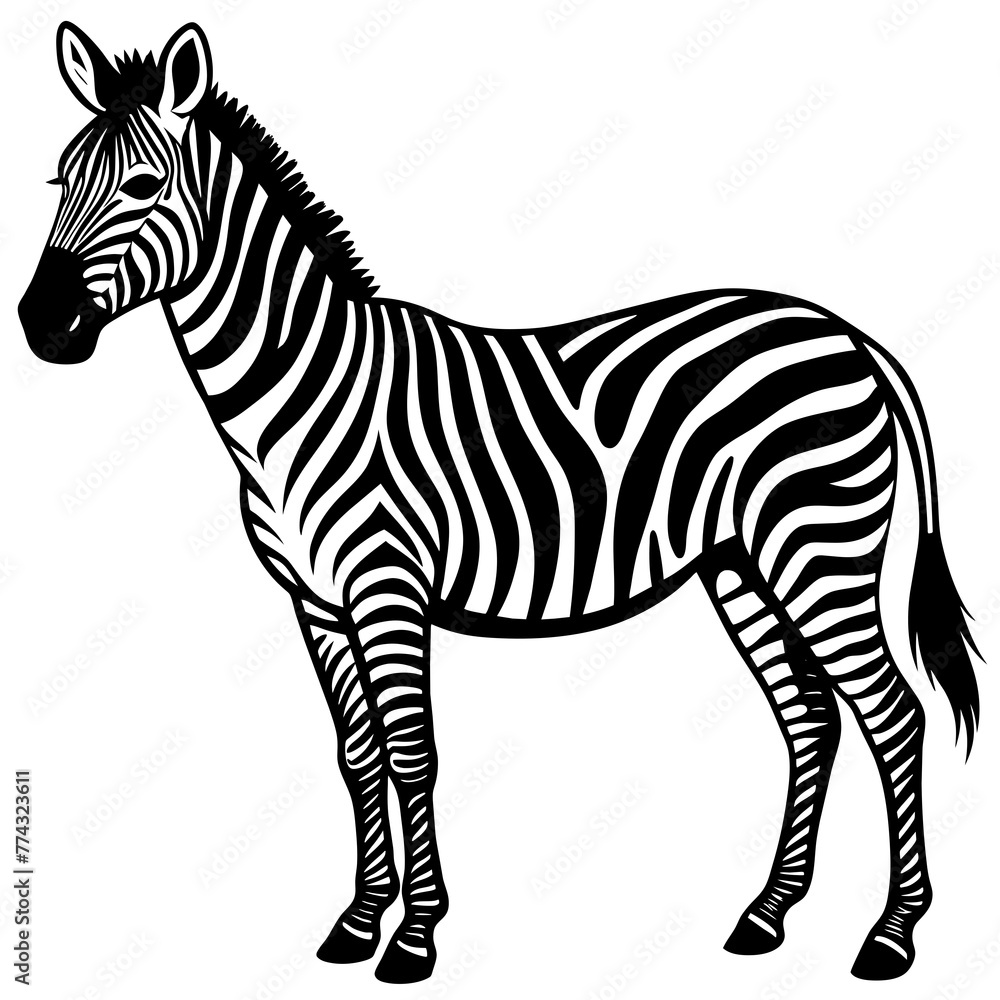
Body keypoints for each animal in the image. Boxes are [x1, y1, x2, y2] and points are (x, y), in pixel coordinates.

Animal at [18, 21, 980, 985]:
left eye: (144, 186)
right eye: (60, 179)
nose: (40, 325)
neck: (298, 392)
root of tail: (847, 335)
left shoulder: (387, 585)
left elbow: (411, 753)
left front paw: (415, 937)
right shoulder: (315, 601)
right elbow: (358, 756)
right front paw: (359, 922)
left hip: (820, 551)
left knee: (893, 715)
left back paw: (892, 934)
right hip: (741, 565)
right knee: (811, 716)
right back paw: (767, 915)